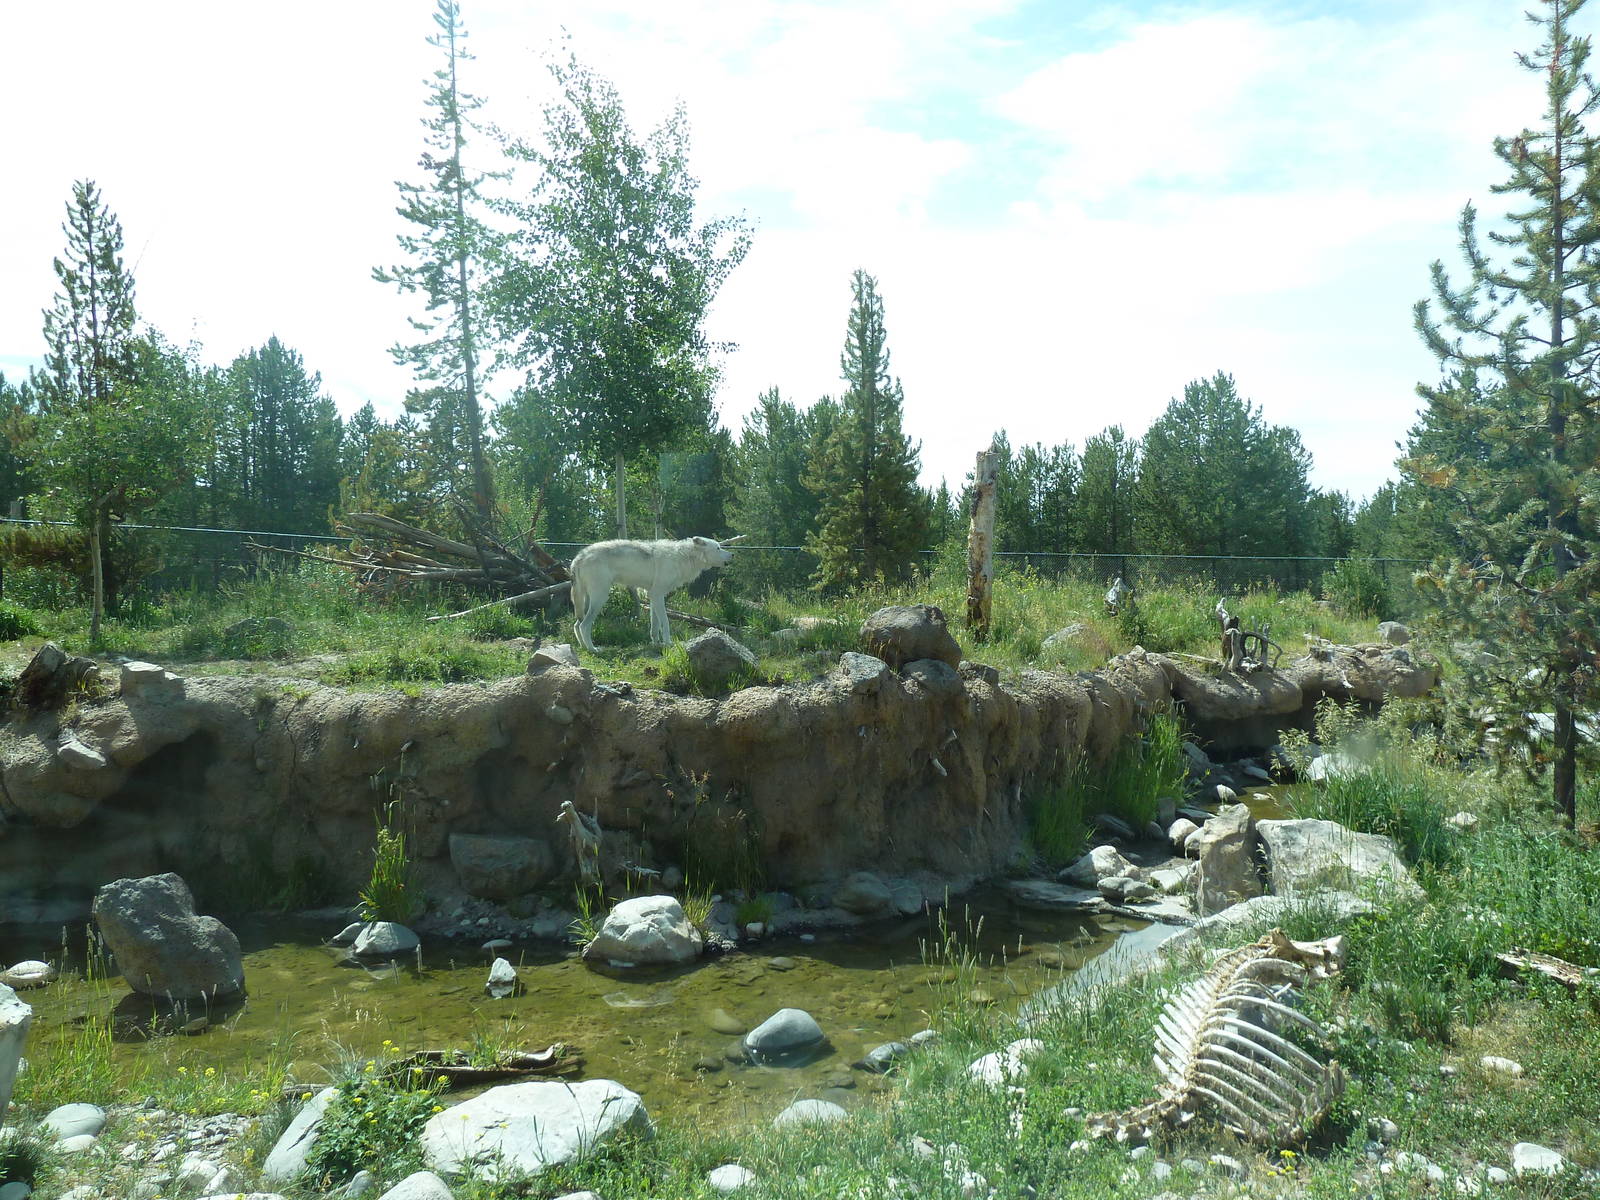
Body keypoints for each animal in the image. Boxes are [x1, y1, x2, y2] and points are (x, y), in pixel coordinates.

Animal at [570, 535, 735, 652]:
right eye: (718, 548)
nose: (732, 555)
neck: (682, 557)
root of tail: (579, 556)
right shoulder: (658, 595)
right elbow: (666, 623)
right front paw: (668, 643)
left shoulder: (653, 597)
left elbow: (654, 626)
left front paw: (656, 644)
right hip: (600, 598)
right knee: (584, 625)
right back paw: (593, 649)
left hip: (587, 601)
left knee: (576, 625)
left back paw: (583, 648)